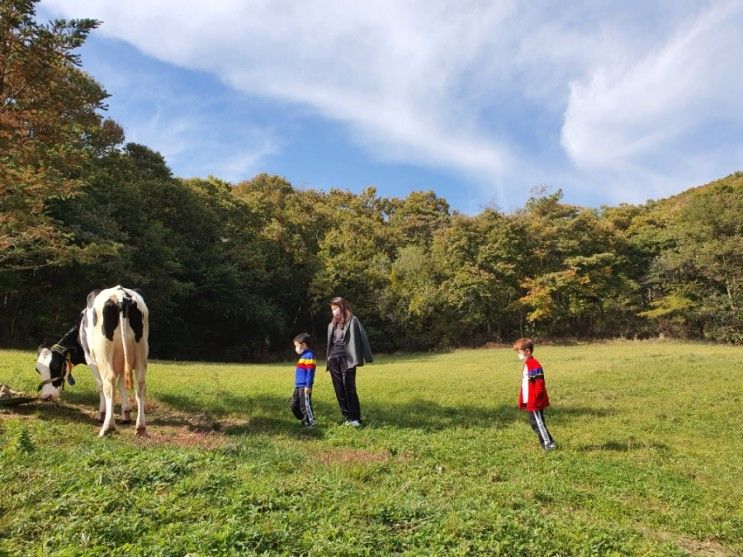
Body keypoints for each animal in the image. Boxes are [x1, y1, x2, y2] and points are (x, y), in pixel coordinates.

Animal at [35, 286, 150, 434]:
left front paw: (102, 414)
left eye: (55, 366)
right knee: (140, 385)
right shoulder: (120, 362)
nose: (46, 396)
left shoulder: (92, 361)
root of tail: (120, 294)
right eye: (38, 370)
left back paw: (108, 426)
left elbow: (100, 386)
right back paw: (140, 426)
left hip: (103, 356)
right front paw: (126, 413)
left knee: (108, 383)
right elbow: (121, 384)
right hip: (141, 352)